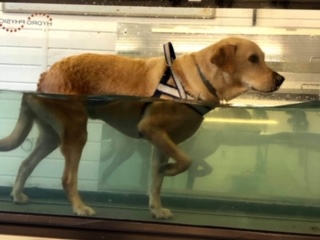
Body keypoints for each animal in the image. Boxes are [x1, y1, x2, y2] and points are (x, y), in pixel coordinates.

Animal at [0, 36, 284, 218]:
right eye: (253, 59)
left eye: (263, 58)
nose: (281, 79)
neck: (196, 80)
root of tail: (43, 77)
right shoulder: (151, 129)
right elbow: (186, 160)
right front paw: (170, 171)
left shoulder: (161, 142)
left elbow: (156, 181)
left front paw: (157, 207)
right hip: (76, 133)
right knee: (67, 178)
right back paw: (80, 208)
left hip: (52, 136)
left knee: (26, 164)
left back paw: (18, 196)